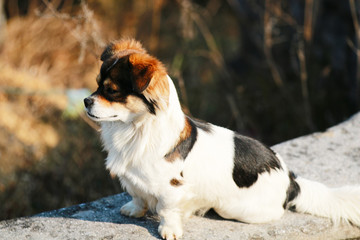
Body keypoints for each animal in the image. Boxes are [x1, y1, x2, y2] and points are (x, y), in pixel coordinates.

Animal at [85, 38, 360, 239]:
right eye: (97, 85)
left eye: (111, 91)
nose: (86, 101)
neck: (132, 128)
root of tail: (291, 181)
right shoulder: (133, 180)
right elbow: (138, 195)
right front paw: (134, 210)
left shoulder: (172, 189)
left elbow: (167, 210)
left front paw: (169, 230)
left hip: (232, 209)